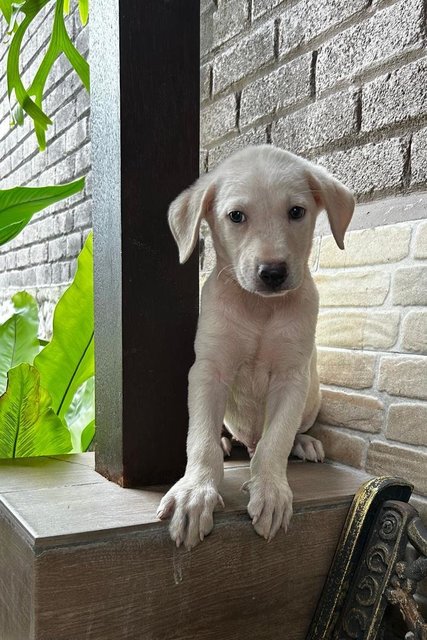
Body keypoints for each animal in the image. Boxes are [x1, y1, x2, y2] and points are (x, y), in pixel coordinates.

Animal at [157, 146, 354, 552]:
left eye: (296, 211)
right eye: (236, 216)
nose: (273, 273)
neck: (261, 309)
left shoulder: (292, 377)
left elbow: (275, 441)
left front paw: (272, 491)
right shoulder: (209, 370)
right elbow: (199, 440)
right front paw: (194, 492)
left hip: (312, 396)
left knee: (279, 436)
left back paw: (304, 443)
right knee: (221, 434)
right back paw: (226, 440)